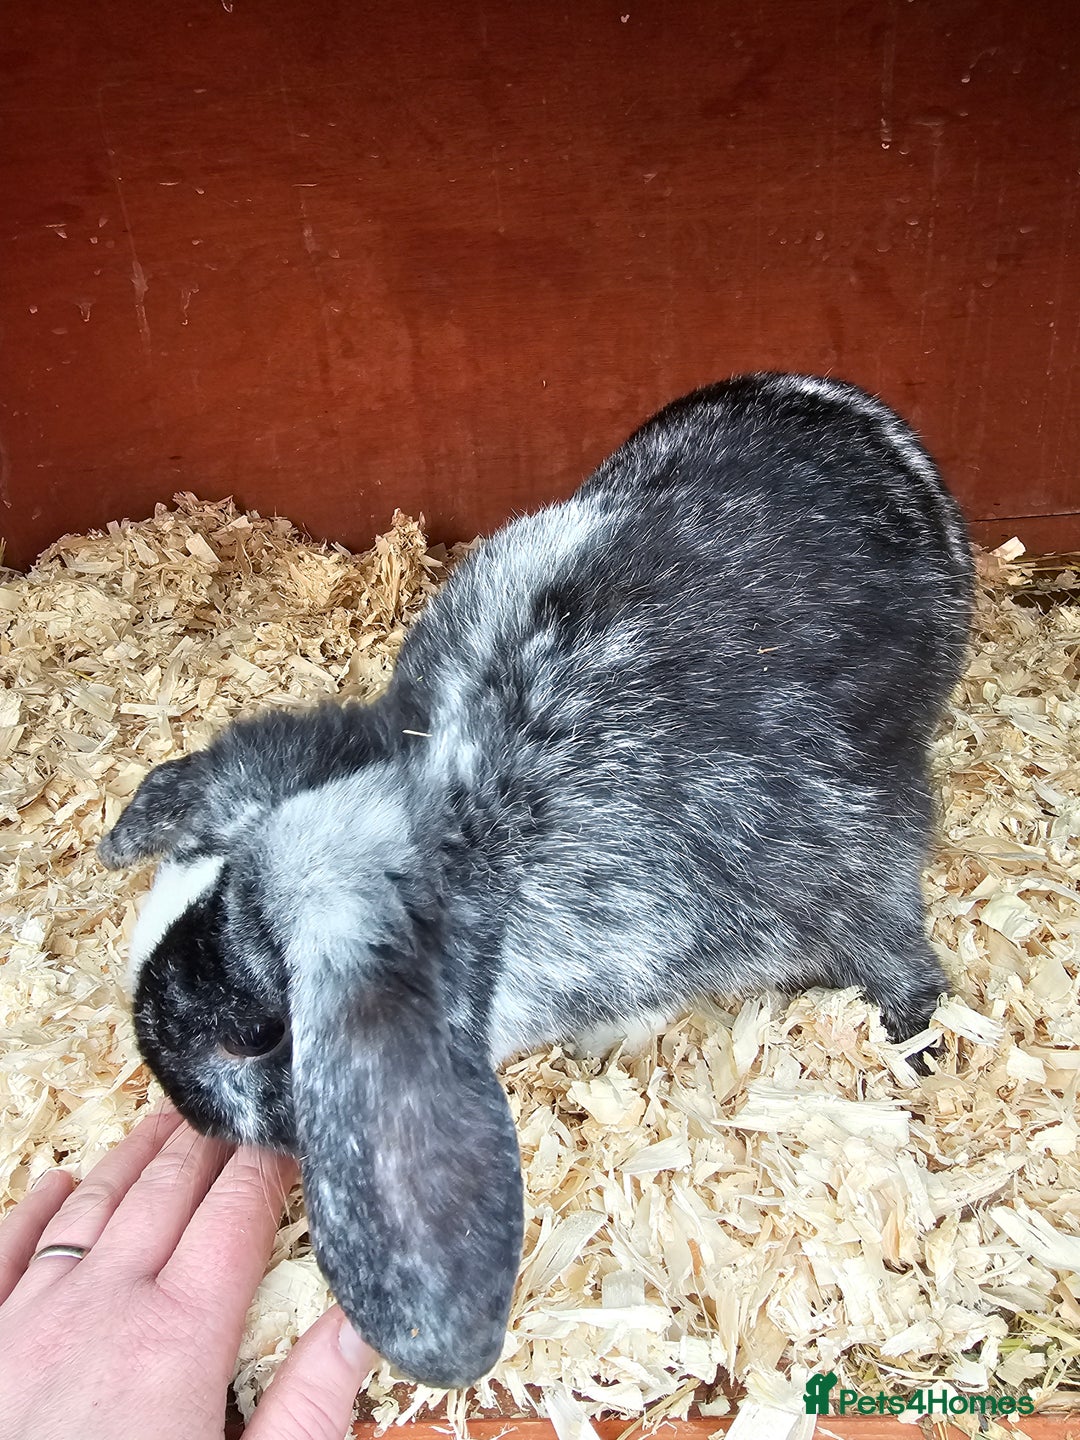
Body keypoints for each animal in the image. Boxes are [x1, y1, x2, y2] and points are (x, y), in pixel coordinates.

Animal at [99, 371, 973, 1389]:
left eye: (254, 1035)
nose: (171, 1090)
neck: (468, 826)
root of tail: (850, 404)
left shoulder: (848, 864)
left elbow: (896, 954)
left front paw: (916, 1044)